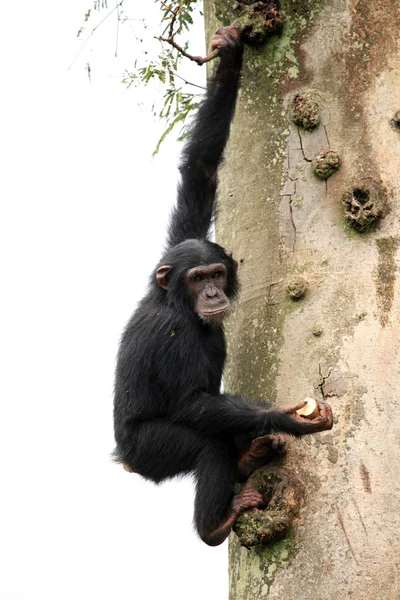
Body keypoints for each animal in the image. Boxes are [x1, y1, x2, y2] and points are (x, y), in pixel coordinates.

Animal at [114, 25, 332, 548]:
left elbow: (201, 169)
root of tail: (125, 460)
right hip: (150, 450)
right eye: (197, 280)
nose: (212, 293)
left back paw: (248, 458)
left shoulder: (178, 243)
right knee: (206, 444)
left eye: (215, 274)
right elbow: (192, 403)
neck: (178, 303)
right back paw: (215, 524)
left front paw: (230, 58)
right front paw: (289, 418)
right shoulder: (171, 335)